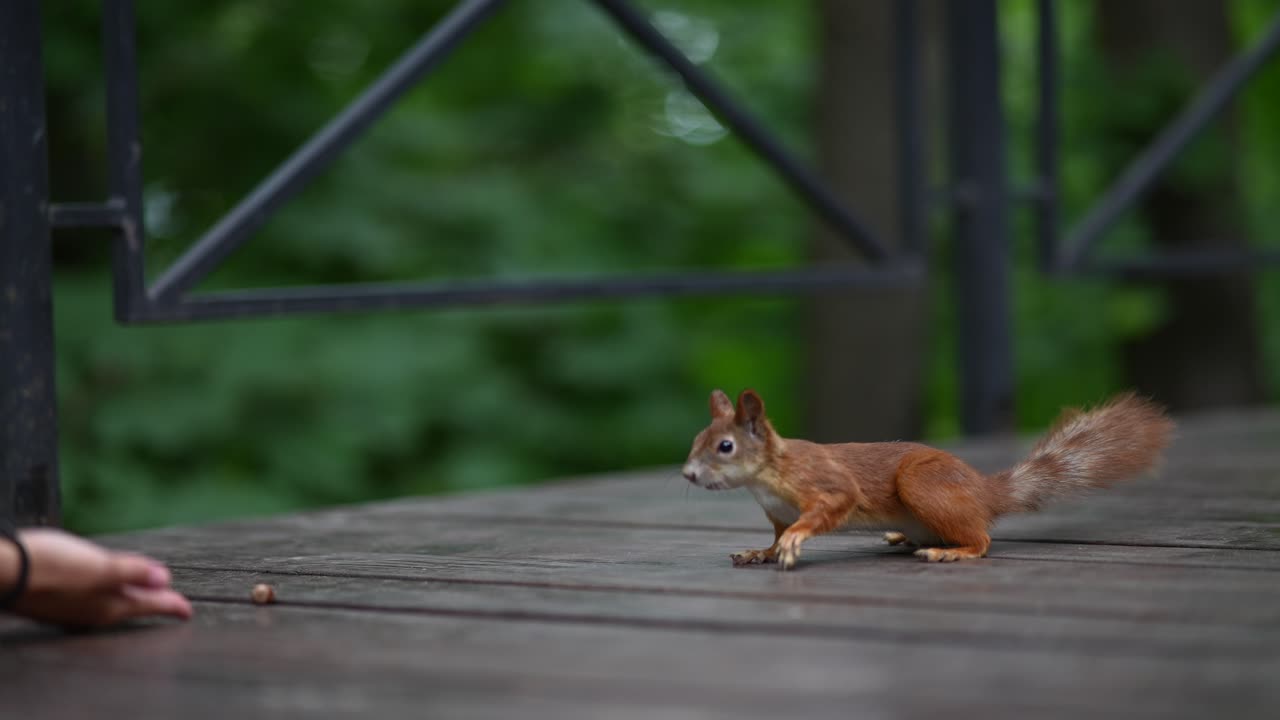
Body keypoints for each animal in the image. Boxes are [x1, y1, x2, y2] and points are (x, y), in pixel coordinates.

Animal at [681, 388, 1173, 570]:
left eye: (725, 447)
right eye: (696, 438)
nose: (687, 473)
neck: (766, 477)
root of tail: (983, 492)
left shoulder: (826, 483)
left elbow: (831, 506)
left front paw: (793, 542)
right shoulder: (776, 511)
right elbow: (774, 534)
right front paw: (761, 551)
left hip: (924, 485)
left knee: (982, 539)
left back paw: (950, 551)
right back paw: (905, 537)